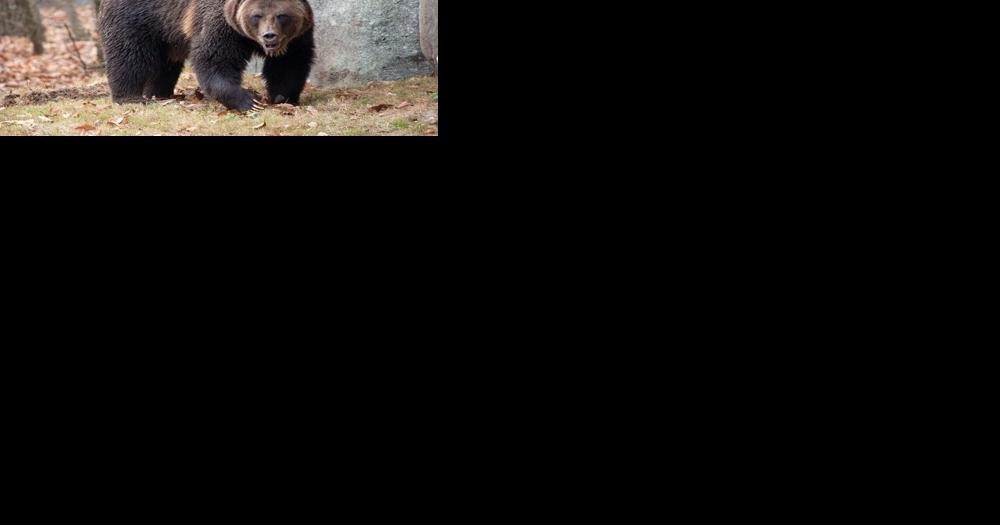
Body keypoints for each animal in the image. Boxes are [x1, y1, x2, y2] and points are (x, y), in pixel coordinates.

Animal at [98, 0, 315, 112]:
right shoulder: (222, 25)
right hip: (139, 17)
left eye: (282, 15)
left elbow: (290, 64)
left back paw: (159, 93)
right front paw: (249, 101)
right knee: (129, 57)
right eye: (257, 15)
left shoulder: (297, 38)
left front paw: (283, 97)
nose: (269, 36)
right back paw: (130, 98)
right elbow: (214, 60)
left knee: (165, 65)